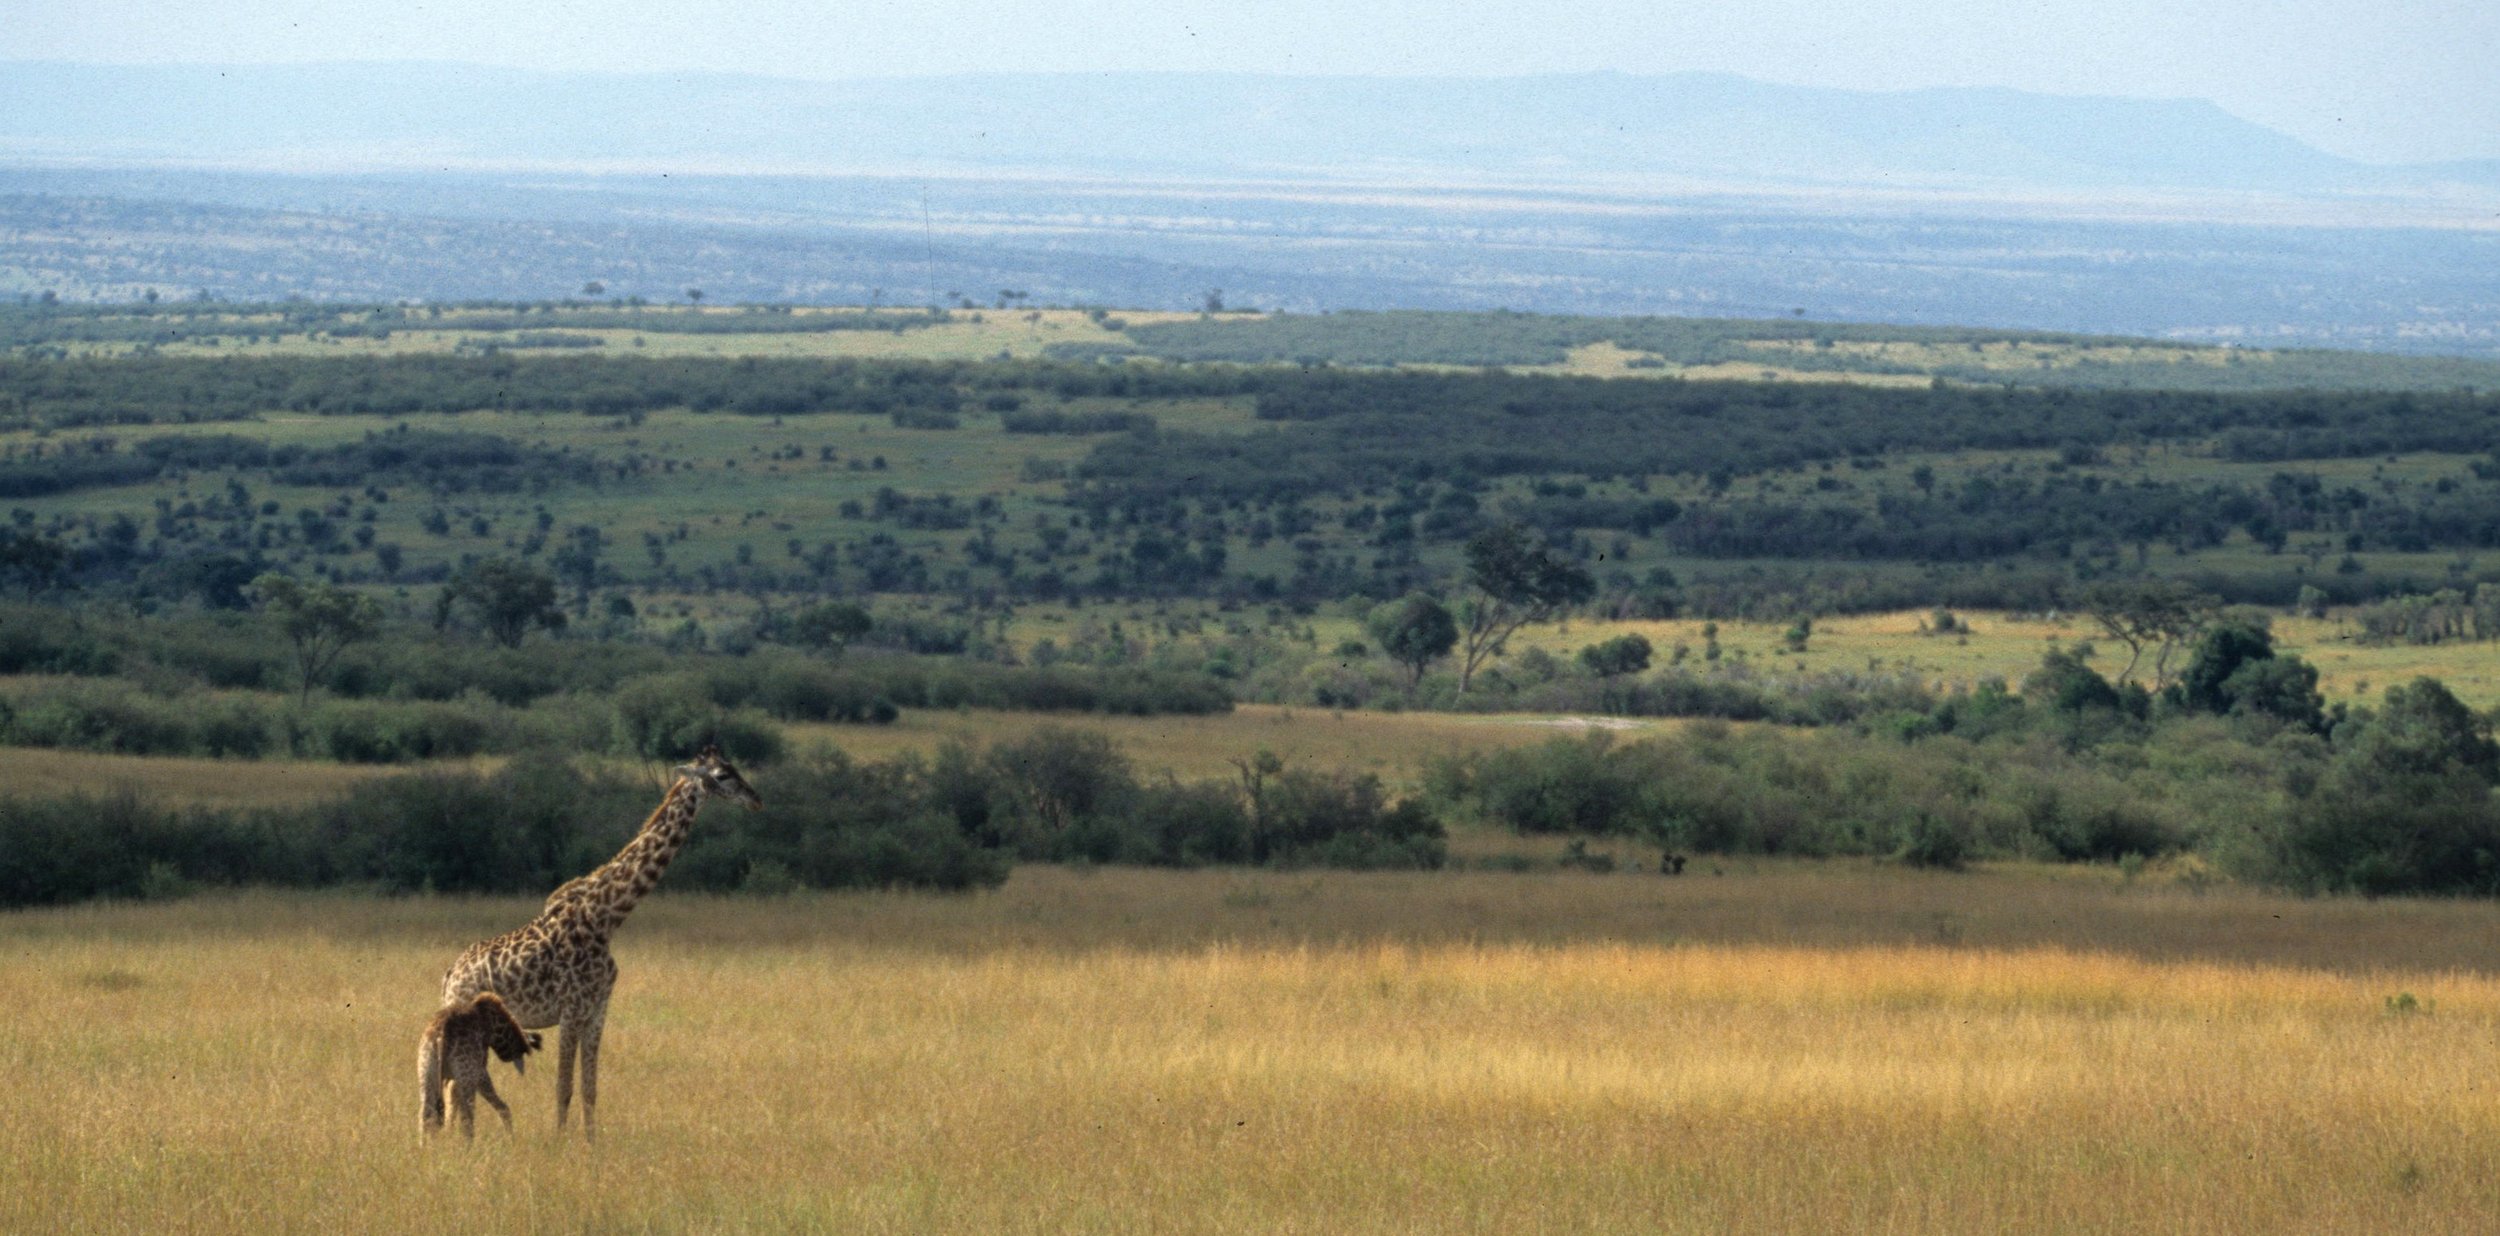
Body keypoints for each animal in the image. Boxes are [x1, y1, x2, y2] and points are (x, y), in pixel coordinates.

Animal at [419, 991, 540, 1140]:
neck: (492, 1023)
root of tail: (441, 1034)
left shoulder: (452, 1078)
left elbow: (451, 1105)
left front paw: (449, 1133)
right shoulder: (480, 1069)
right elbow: (502, 1106)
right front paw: (510, 1136)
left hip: (427, 1071)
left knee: (426, 1116)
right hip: (466, 1075)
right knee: (467, 1119)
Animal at [439, 743, 762, 1139]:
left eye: (734, 767)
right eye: (721, 775)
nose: (756, 799)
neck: (604, 918)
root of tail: (449, 977)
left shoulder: (597, 1010)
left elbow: (590, 1088)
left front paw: (590, 1145)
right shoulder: (570, 1011)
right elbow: (563, 1087)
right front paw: (559, 1143)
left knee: (454, 1087)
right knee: (454, 1086)